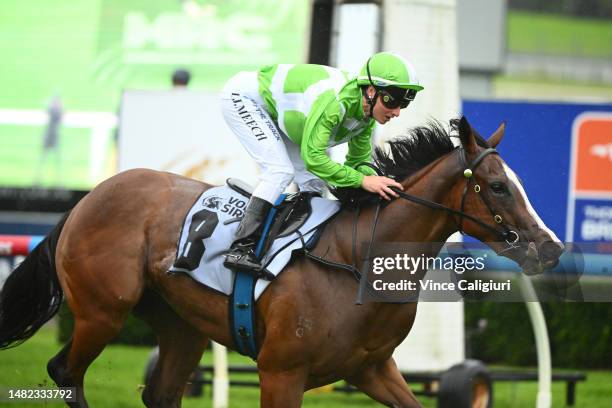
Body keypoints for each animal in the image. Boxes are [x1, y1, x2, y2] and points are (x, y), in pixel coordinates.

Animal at [0, 116, 564, 406]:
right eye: (497, 186)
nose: (551, 248)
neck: (356, 262)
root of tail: (89, 196)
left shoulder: (371, 368)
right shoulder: (280, 373)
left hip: (181, 326)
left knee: (161, 393)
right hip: (103, 310)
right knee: (64, 371)